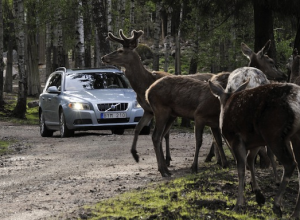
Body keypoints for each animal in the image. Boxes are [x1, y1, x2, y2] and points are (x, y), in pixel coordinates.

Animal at [210, 79, 300, 218]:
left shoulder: (236, 139)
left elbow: (241, 169)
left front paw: (239, 204)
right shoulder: (255, 142)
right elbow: (250, 160)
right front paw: (258, 194)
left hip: (274, 133)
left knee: (290, 164)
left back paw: (277, 206)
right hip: (294, 136)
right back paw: (295, 213)